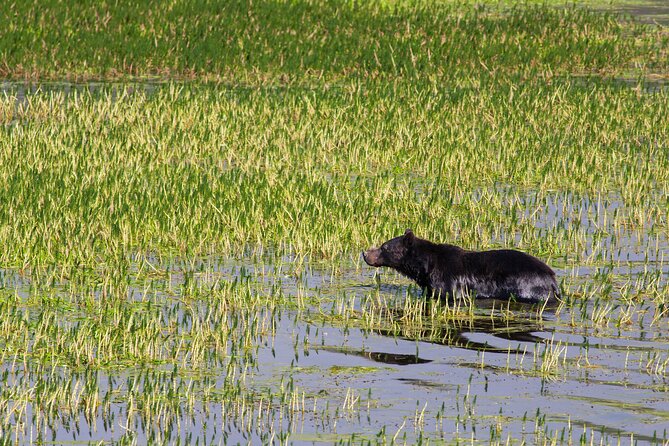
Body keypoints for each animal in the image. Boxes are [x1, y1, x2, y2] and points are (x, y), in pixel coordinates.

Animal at [362, 230, 560, 304]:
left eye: (384, 247)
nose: (365, 254)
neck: (426, 267)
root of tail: (552, 280)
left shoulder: (447, 280)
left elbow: (449, 293)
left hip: (528, 287)